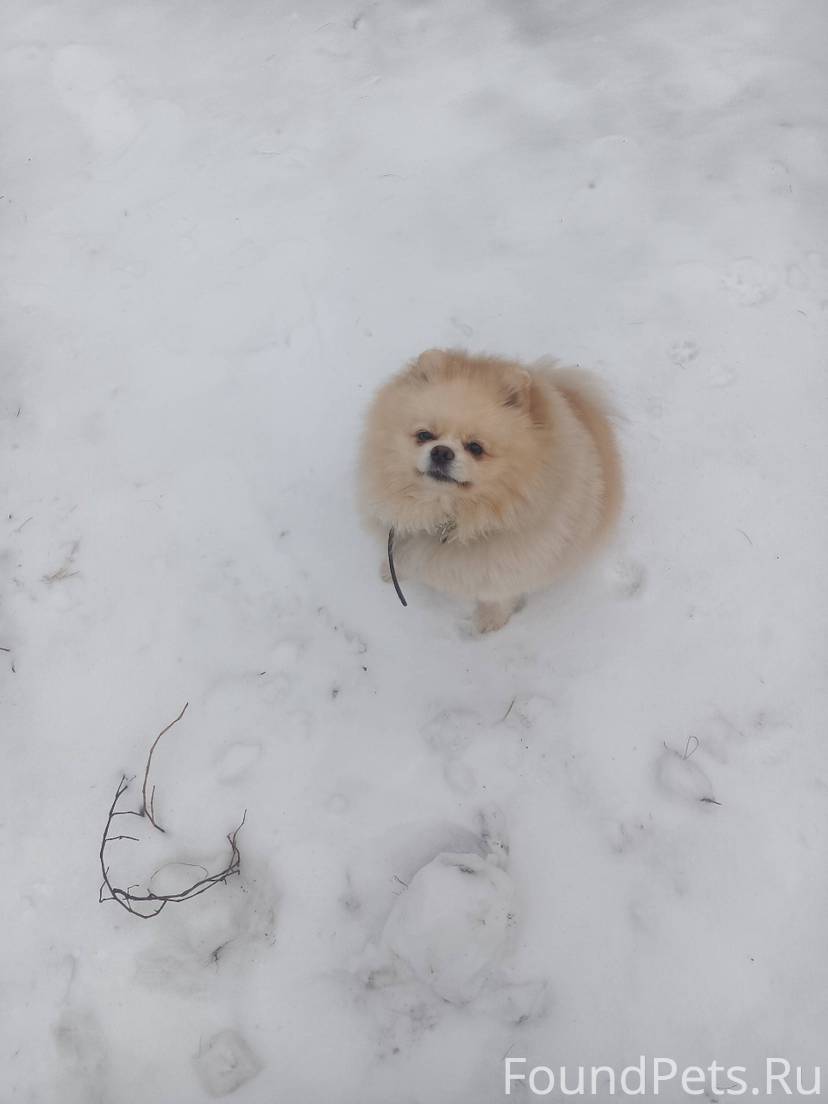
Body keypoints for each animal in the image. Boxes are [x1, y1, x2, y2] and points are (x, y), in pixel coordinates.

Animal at [358, 348, 622, 632]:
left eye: (475, 448)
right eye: (424, 435)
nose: (441, 452)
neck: (449, 517)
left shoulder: (509, 566)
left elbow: (497, 596)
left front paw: (488, 622)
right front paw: (392, 570)